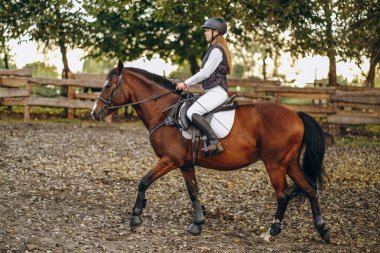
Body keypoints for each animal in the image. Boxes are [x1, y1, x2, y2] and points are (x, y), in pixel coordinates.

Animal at [91, 60, 330, 243]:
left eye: (108, 85)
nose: (95, 113)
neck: (165, 113)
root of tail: (296, 114)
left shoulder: (169, 160)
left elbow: (143, 182)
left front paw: (135, 217)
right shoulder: (185, 165)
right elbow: (193, 192)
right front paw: (197, 224)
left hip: (275, 165)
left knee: (283, 196)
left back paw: (272, 232)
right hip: (290, 163)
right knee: (310, 189)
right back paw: (322, 230)